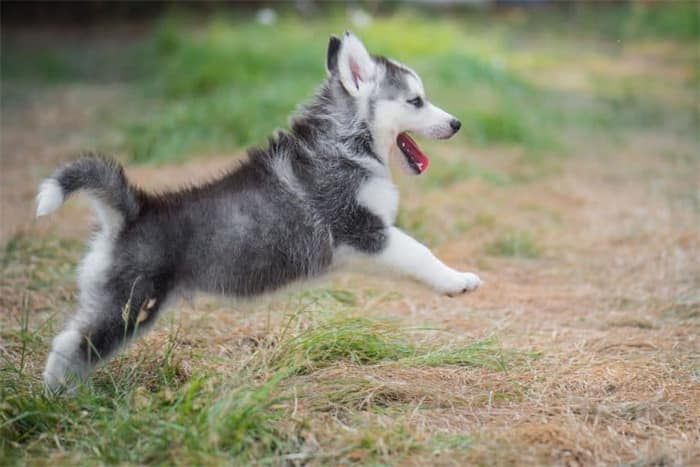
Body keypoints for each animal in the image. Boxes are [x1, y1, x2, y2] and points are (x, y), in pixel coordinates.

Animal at [35, 33, 478, 390]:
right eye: (416, 101)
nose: (457, 123)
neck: (347, 141)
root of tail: (133, 211)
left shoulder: (363, 246)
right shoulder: (363, 229)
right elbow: (419, 251)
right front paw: (457, 281)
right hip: (129, 305)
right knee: (70, 344)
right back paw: (59, 399)